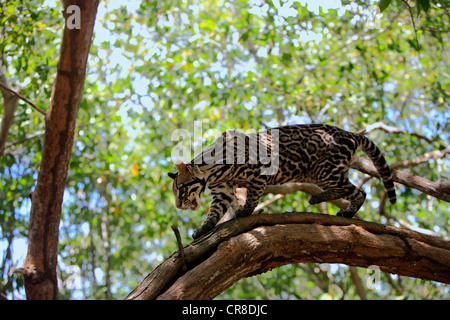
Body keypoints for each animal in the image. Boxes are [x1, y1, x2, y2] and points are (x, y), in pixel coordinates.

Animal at [167, 124, 396, 239]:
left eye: (180, 189)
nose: (178, 205)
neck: (214, 173)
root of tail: (350, 134)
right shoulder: (222, 192)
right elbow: (214, 213)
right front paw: (204, 228)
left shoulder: (259, 172)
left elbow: (253, 197)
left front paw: (245, 211)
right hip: (323, 173)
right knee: (347, 189)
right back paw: (321, 200)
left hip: (325, 171)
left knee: (358, 192)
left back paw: (341, 209)